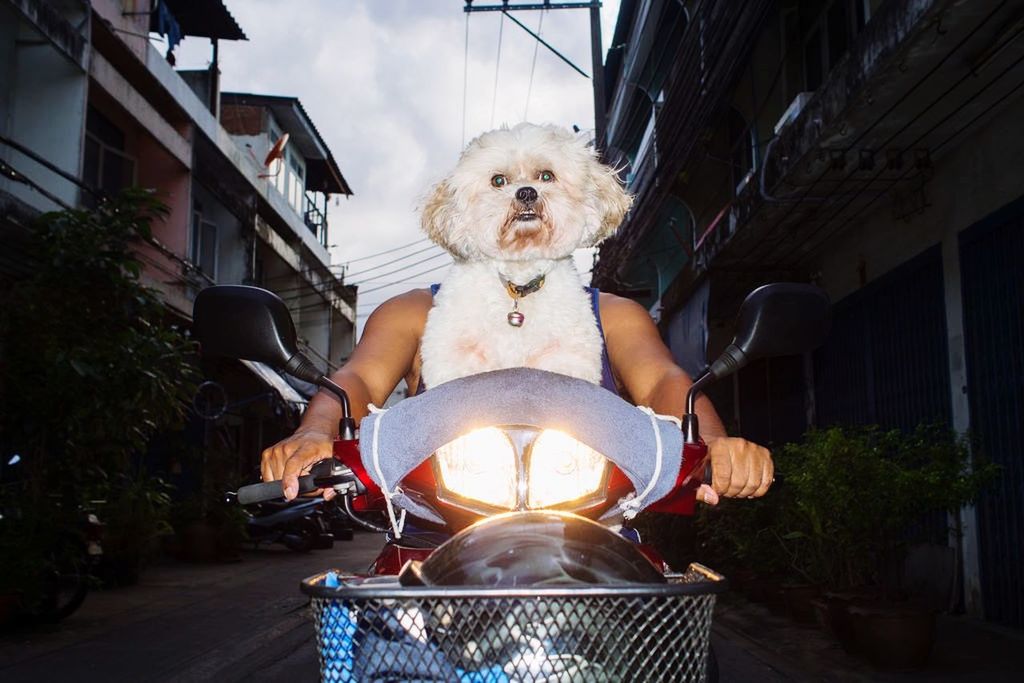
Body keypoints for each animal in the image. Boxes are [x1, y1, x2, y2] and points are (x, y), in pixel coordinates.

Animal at [417, 123, 626, 389]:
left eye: (546, 175)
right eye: (498, 180)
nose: (526, 192)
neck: (518, 281)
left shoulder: (565, 356)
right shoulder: (456, 355)